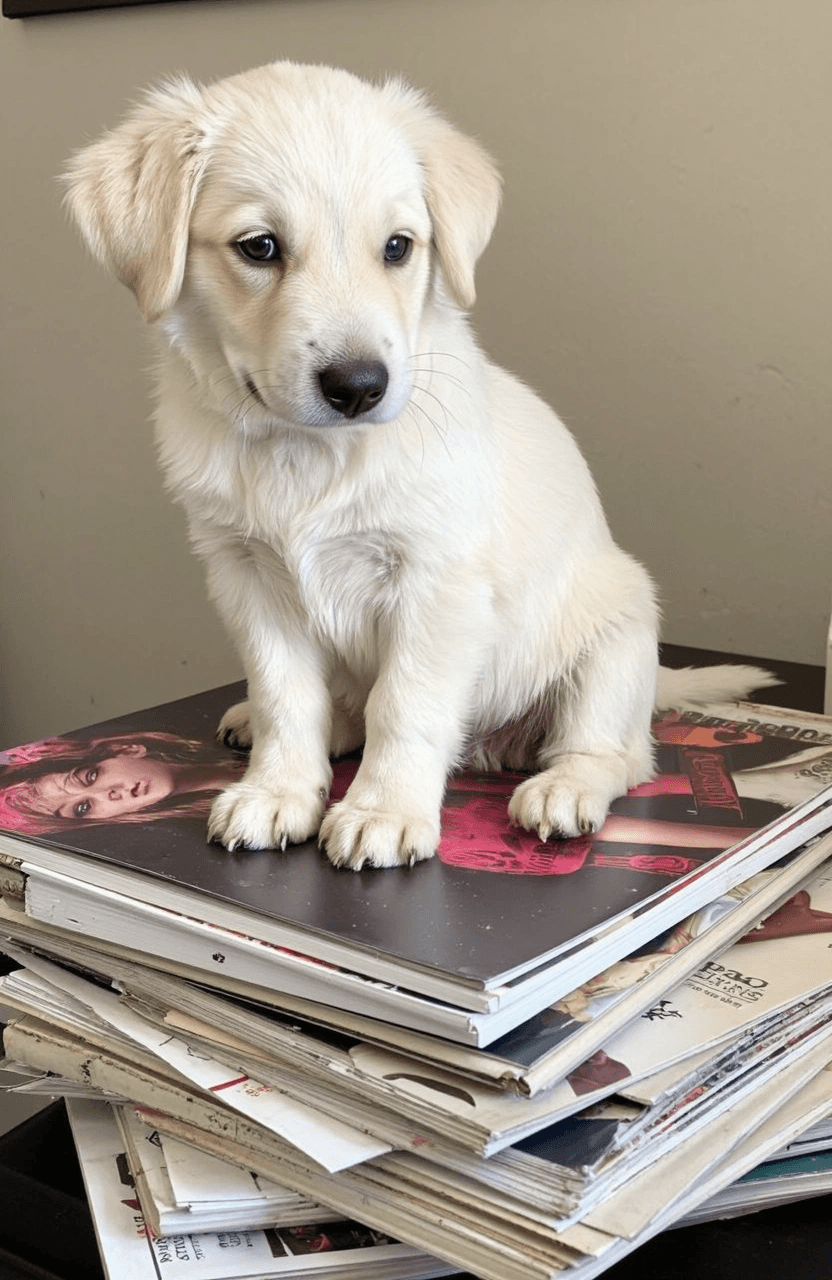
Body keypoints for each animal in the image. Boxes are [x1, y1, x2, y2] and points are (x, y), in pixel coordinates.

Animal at [64, 61, 775, 870]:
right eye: (260, 247)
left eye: (399, 247)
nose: (358, 386)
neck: (310, 453)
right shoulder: (245, 576)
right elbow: (286, 698)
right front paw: (278, 791)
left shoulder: (435, 584)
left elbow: (404, 704)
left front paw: (382, 809)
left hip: (617, 634)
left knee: (618, 754)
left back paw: (564, 788)